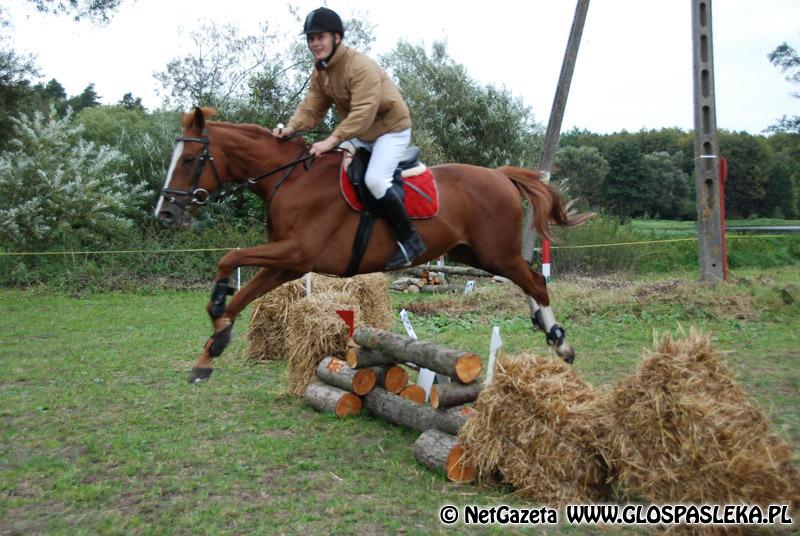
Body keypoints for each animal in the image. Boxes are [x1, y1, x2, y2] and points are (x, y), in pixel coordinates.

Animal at [155, 107, 594, 383]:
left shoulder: (296, 253)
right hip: (476, 253)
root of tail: (500, 175)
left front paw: (216, 309)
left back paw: (561, 344)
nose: (165, 214)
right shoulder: (287, 263)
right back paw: (545, 327)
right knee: (527, 280)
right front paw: (211, 350)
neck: (291, 179)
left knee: (535, 281)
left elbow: (229, 259)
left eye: (190, 158)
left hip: (494, 252)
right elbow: (241, 295)